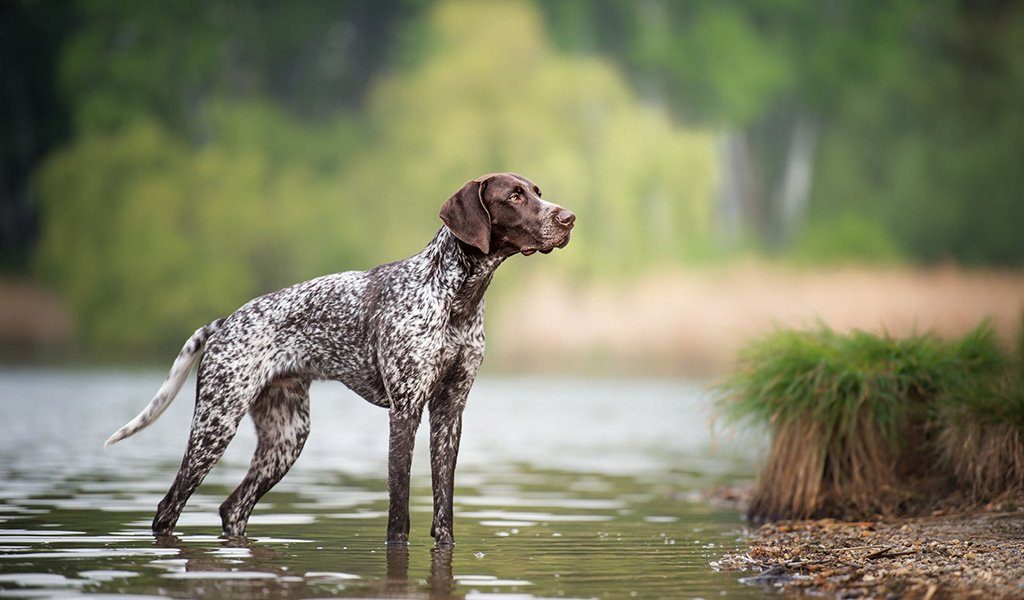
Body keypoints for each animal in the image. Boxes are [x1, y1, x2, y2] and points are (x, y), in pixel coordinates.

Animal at [107, 170, 573, 544]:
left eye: (537, 192)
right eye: (514, 196)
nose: (568, 218)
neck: (456, 299)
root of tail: (224, 322)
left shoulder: (449, 413)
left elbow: (444, 512)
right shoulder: (405, 411)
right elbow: (398, 514)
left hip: (286, 437)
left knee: (232, 508)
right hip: (215, 425)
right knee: (169, 508)